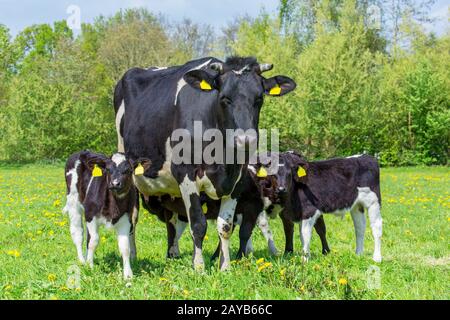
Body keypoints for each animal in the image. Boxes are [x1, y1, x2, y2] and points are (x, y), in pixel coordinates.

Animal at [62, 150, 151, 278]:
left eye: (129, 170)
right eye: (108, 169)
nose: (115, 183)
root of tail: (82, 151)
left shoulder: (126, 219)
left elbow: (125, 247)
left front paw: (128, 274)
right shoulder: (90, 216)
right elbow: (93, 241)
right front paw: (90, 267)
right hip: (74, 202)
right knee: (78, 233)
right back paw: (82, 261)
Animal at [113, 57, 296, 270]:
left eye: (259, 98)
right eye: (224, 98)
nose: (246, 140)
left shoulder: (237, 181)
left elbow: (225, 226)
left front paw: (224, 267)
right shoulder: (185, 174)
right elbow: (198, 224)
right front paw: (199, 267)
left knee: (171, 220)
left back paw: (173, 254)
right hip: (130, 176)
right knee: (133, 219)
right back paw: (133, 256)